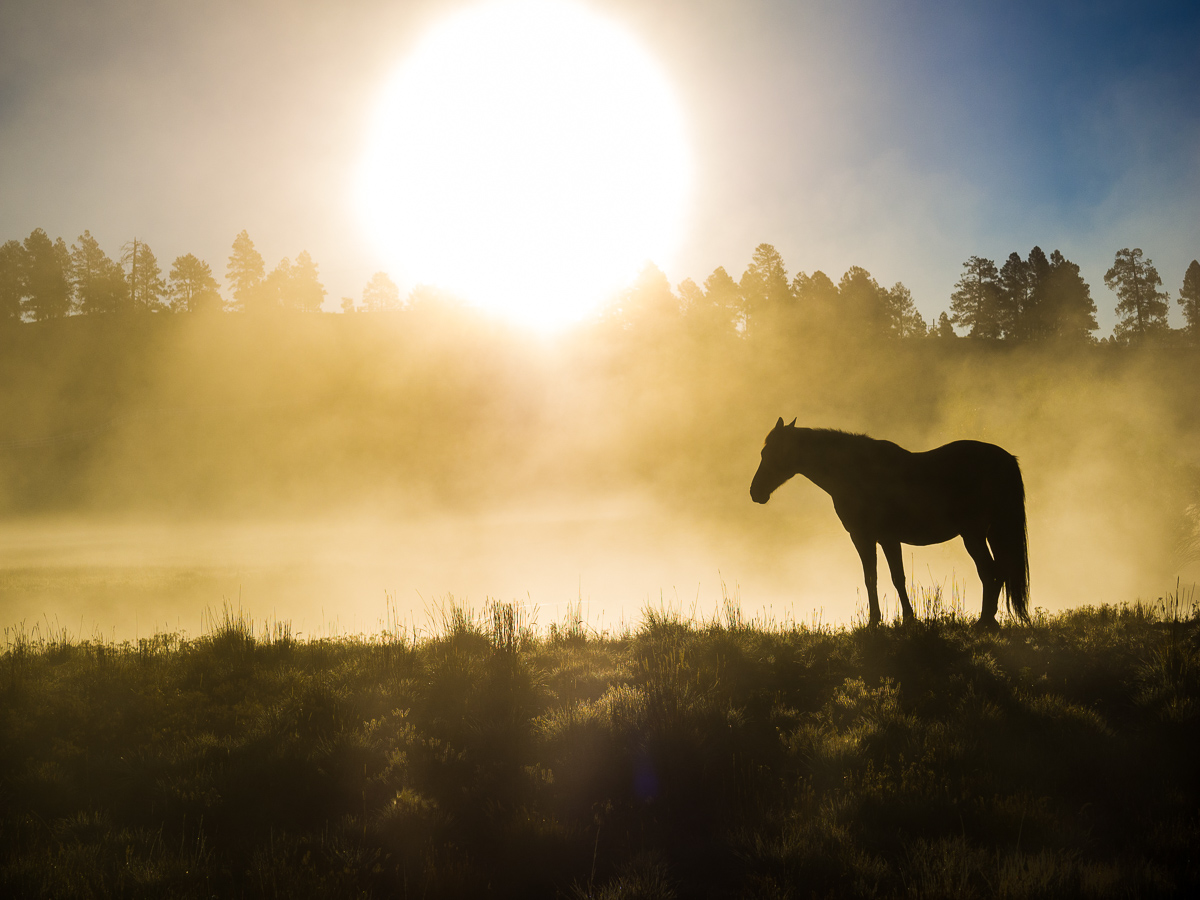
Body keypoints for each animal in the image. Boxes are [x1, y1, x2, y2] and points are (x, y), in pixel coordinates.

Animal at [750, 419, 1029, 628]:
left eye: (771, 453)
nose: (755, 492)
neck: (856, 472)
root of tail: (1004, 458)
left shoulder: (875, 537)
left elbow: (890, 577)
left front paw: (899, 620)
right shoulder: (873, 538)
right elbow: (877, 577)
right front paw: (884, 620)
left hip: (973, 534)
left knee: (990, 571)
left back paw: (984, 622)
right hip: (989, 533)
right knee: (998, 571)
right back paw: (989, 620)